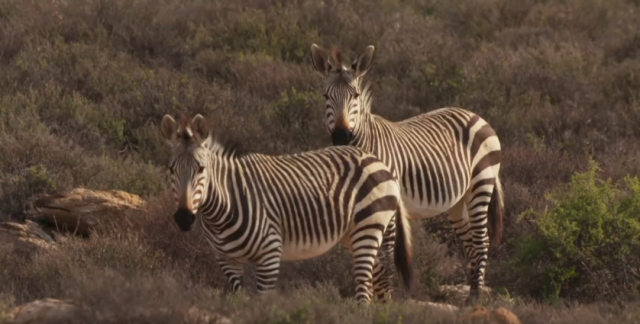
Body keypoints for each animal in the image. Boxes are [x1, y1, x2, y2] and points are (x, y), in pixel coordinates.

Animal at [160, 113, 416, 304]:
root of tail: (379, 161)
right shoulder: (226, 260)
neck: (225, 205)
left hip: (369, 225)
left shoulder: (270, 254)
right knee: (380, 276)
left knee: (365, 287)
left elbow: (261, 305)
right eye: (171, 169)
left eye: (201, 169)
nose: (184, 218)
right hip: (354, 234)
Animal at [310, 44, 504, 306]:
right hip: (457, 203)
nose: (341, 137)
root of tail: (476, 115)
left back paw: (475, 299)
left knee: (481, 241)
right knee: (472, 244)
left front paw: (385, 301)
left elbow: (384, 255)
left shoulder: (387, 207)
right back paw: (471, 293)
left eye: (356, 96)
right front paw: (370, 299)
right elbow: (368, 256)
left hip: (480, 185)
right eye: (325, 96)